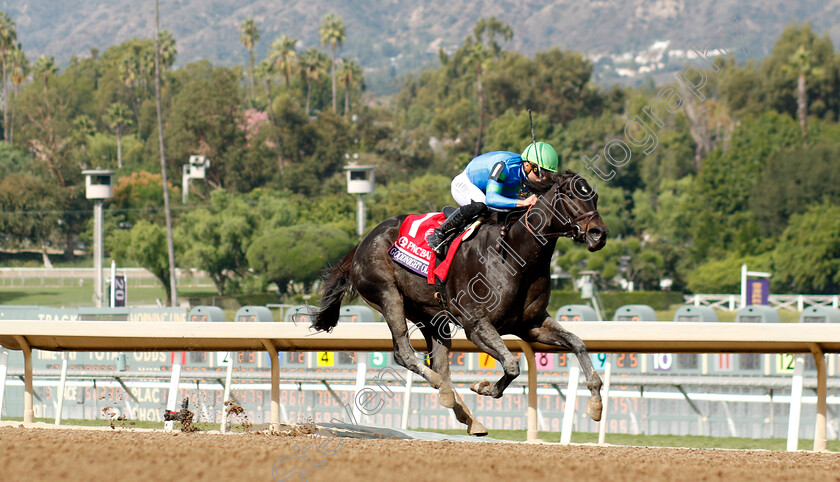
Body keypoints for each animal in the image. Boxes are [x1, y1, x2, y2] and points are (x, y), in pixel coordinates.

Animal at [312, 171, 608, 434]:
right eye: (572, 194)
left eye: (594, 196)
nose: (599, 234)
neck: (515, 254)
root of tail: (361, 243)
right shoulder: (476, 325)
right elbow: (512, 365)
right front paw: (484, 387)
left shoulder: (531, 325)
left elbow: (577, 343)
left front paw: (595, 402)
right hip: (388, 295)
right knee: (406, 354)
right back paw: (442, 389)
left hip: (431, 316)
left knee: (439, 365)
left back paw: (467, 416)